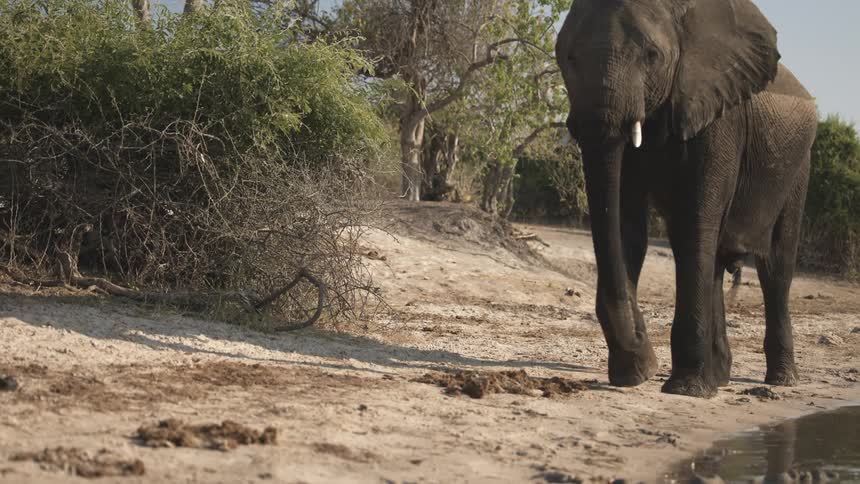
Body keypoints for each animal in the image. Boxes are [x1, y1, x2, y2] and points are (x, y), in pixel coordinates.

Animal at [554, 0, 818, 397]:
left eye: (652, 56)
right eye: (567, 56)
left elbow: (695, 223)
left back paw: (779, 380)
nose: (644, 357)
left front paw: (684, 388)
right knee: (714, 258)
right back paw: (720, 377)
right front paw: (635, 374)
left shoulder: (720, 115)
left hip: (799, 165)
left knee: (775, 265)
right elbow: (626, 227)